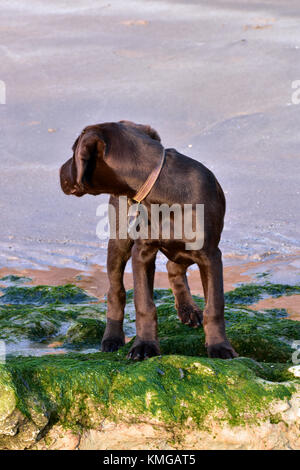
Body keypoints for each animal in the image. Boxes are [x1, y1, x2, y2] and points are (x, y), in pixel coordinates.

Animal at [59, 121, 237, 360]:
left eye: (73, 152)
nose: (59, 172)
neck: (162, 189)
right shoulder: (142, 252)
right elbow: (144, 304)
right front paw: (144, 345)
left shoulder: (209, 254)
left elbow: (215, 306)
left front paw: (219, 347)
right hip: (119, 241)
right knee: (116, 291)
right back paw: (112, 338)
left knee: (173, 268)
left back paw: (188, 310)